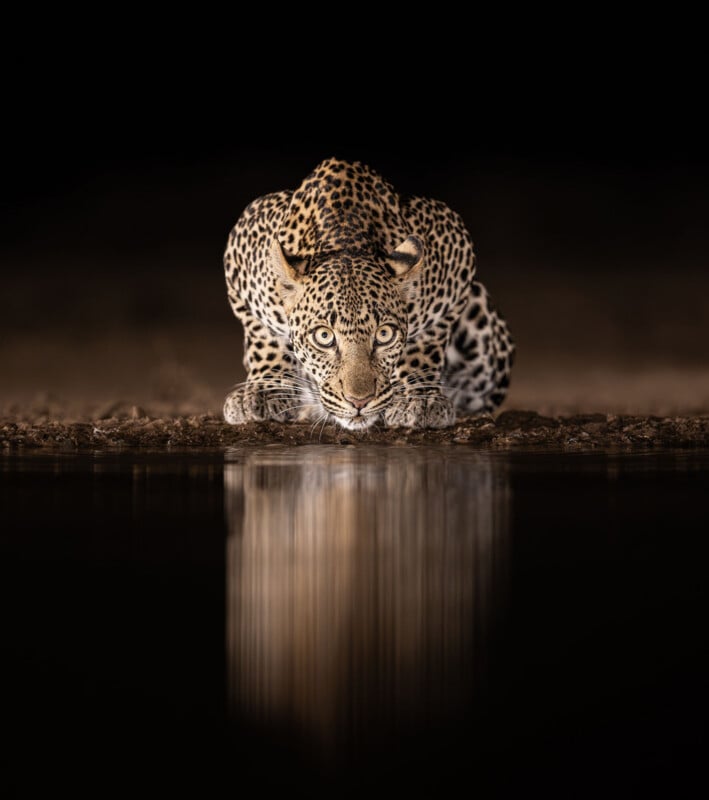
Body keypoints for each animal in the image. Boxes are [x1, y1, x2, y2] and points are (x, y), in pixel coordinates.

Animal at [223, 157, 514, 430]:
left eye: (384, 335)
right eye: (324, 337)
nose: (359, 402)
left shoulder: (458, 258)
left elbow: (425, 343)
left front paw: (417, 398)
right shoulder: (240, 256)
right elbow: (265, 340)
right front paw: (264, 390)